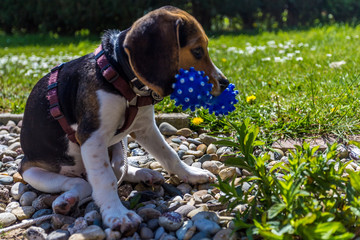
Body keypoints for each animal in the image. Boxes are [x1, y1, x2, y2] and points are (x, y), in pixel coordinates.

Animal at [19, 5, 228, 234]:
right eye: (197, 51)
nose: (226, 83)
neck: (120, 75)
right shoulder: (92, 137)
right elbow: (105, 179)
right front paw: (117, 215)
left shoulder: (145, 128)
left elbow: (169, 155)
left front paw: (191, 173)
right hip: (32, 171)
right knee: (83, 183)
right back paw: (67, 200)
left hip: (120, 142)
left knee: (120, 166)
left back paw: (144, 174)